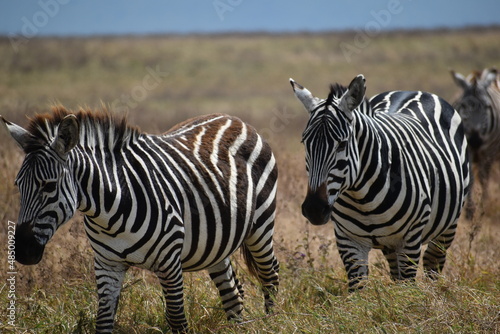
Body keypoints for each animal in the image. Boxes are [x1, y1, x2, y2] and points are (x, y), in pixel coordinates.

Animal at [1, 107, 280, 332]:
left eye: (48, 186)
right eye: (17, 185)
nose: (22, 251)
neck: (108, 213)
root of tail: (235, 119)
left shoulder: (170, 262)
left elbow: (177, 319)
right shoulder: (107, 265)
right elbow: (103, 321)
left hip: (261, 225)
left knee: (270, 274)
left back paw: (273, 322)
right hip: (216, 242)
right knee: (233, 291)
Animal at [290, 74, 468, 290]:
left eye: (342, 144)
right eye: (305, 143)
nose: (314, 209)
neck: (362, 197)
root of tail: (410, 91)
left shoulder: (410, 239)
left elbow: (408, 290)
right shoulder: (348, 241)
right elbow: (358, 289)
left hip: (447, 228)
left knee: (433, 265)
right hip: (390, 245)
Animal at [450, 66, 500, 200]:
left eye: (487, 106)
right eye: (463, 105)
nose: (475, 140)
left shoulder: (489, 151)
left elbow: (484, 179)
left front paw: (484, 203)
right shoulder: (467, 150)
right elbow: (471, 179)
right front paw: (469, 206)